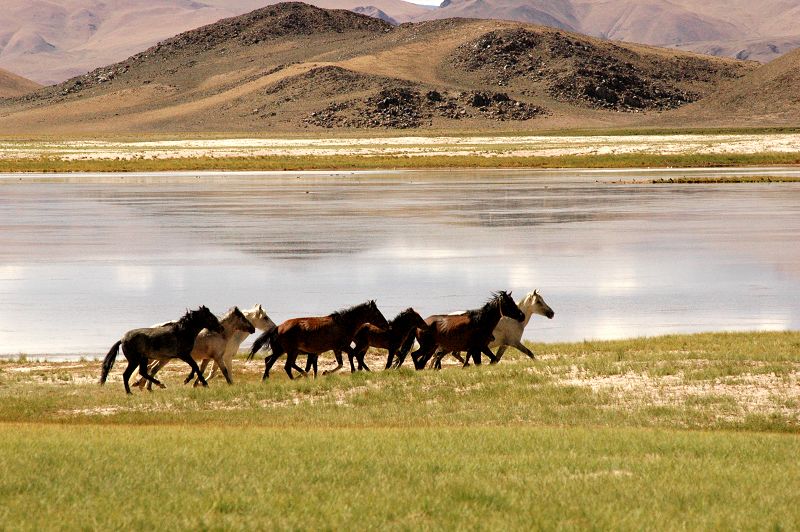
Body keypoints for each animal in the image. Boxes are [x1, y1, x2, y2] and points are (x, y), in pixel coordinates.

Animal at [248, 302, 390, 380]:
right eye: (377, 313)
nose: (386, 325)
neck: (343, 324)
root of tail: (278, 328)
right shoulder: (341, 346)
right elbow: (349, 357)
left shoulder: (336, 348)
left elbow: (341, 363)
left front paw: (326, 372)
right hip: (291, 351)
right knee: (287, 366)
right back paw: (297, 378)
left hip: (284, 351)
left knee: (270, 362)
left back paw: (266, 379)